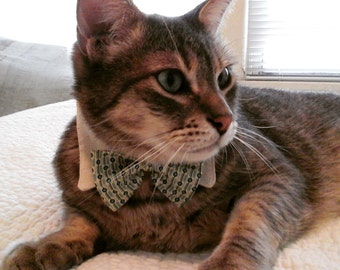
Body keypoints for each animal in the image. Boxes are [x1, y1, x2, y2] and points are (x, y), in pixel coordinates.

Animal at [3, 0, 340, 270]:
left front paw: (227, 261)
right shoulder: (75, 198)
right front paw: (47, 245)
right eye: (171, 80)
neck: (147, 178)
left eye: (223, 77)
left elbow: (249, 219)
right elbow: (78, 221)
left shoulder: (280, 176)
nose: (228, 120)